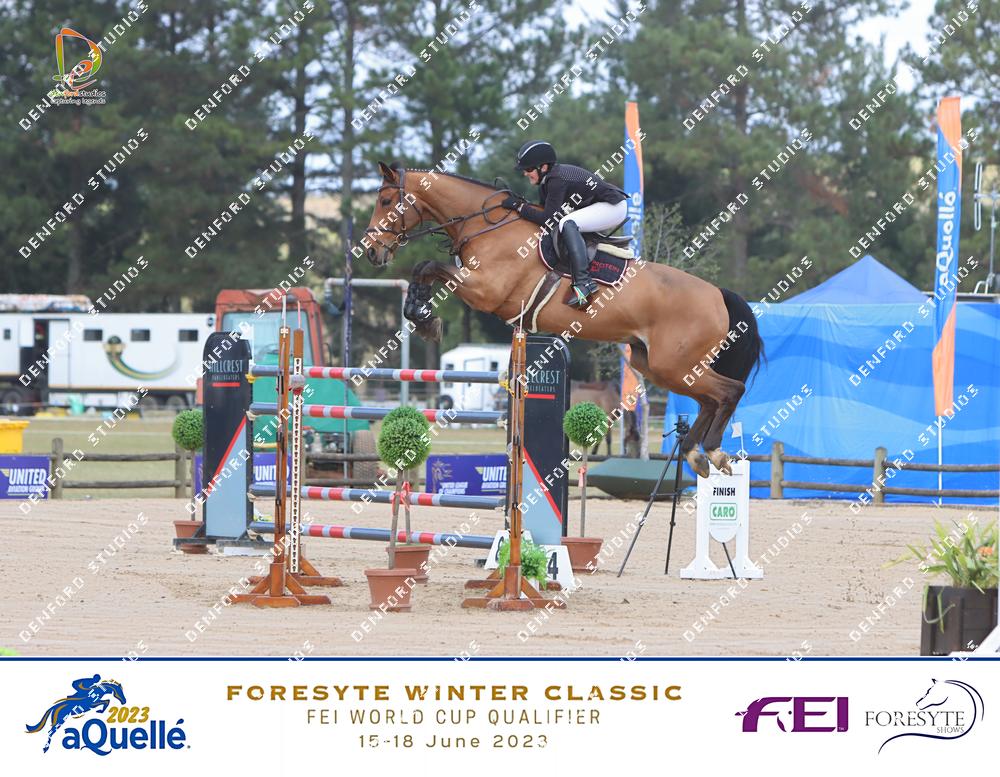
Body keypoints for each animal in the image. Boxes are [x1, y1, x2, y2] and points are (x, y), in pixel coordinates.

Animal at [360, 161, 763, 477]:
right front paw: (420, 314)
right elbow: (423, 269)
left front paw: (424, 318)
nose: (372, 252)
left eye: (385, 201)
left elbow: (429, 266)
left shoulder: (484, 290)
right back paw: (698, 453)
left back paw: (710, 450)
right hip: (656, 365)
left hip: (674, 365)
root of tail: (718, 294)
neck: (490, 227)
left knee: (729, 391)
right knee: (710, 399)